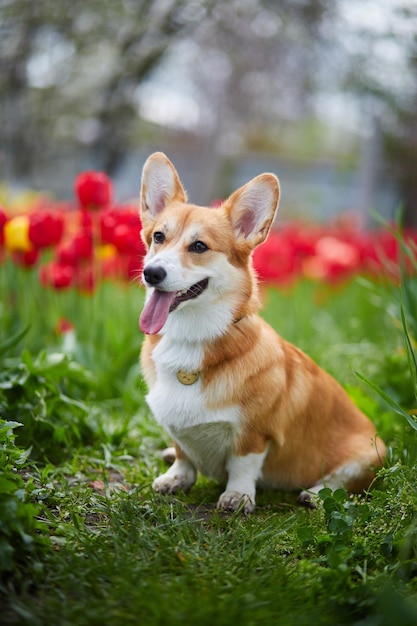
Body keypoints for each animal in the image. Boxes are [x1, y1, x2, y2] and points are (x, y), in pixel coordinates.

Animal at [138, 151, 386, 512]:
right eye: (158, 237)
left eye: (199, 246)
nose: (152, 273)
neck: (192, 338)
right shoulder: (176, 424)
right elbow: (184, 453)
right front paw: (176, 478)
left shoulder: (254, 434)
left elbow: (242, 464)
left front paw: (237, 497)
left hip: (370, 455)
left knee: (342, 481)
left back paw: (316, 493)